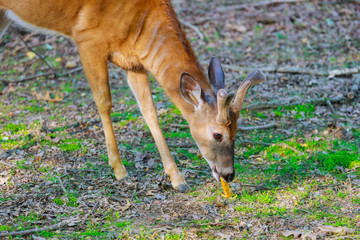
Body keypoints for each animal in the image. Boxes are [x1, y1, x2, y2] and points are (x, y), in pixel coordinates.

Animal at [0, 0, 264, 191]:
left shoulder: (134, 62)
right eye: (217, 134)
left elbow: (150, 112)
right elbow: (104, 103)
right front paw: (120, 171)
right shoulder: (87, 39)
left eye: (237, 130)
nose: (229, 174)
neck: (140, 21)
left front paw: (178, 180)